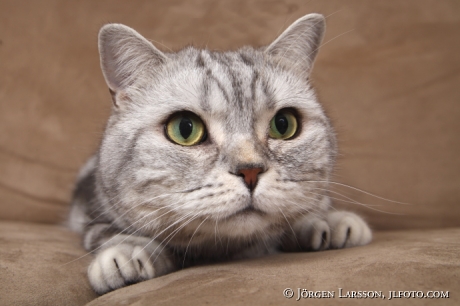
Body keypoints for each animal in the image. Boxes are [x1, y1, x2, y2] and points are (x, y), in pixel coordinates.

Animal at [67, 13, 370, 296]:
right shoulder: (92, 210)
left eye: (283, 124)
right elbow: (109, 233)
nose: (250, 171)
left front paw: (328, 221)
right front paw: (128, 253)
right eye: (185, 128)